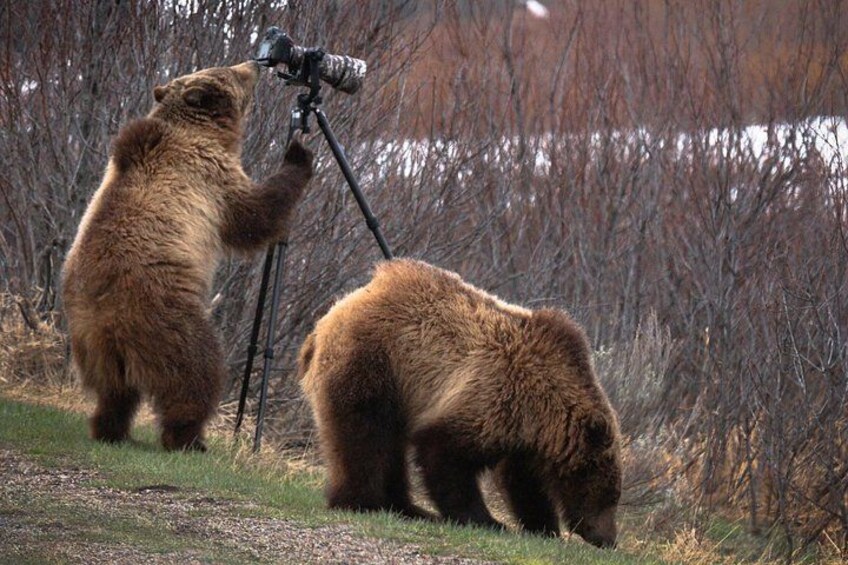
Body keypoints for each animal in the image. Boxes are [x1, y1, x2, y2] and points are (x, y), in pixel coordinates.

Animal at [62, 61, 314, 452]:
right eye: (232, 73)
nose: (255, 64)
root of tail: (108, 320)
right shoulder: (209, 176)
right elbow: (252, 215)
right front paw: (298, 154)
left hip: (89, 343)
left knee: (113, 392)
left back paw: (109, 428)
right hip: (167, 319)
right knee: (194, 374)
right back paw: (189, 437)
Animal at [297, 259, 622, 548]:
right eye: (607, 496)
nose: (608, 539)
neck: (544, 410)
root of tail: (329, 316)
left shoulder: (521, 436)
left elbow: (524, 483)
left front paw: (544, 526)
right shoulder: (492, 397)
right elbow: (446, 456)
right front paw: (488, 520)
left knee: (389, 447)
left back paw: (408, 507)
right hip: (375, 362)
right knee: (364, 437)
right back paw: (360, 501)